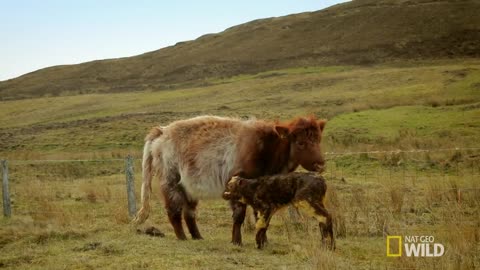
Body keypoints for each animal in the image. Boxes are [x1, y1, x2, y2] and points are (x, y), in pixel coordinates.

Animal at [132, 115, 326, 244]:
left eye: (318, 139)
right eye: (300, 143)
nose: (320, 164)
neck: (268, 149)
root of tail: (162, 131)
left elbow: (261, 217)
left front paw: (263, 241)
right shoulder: (235, 184)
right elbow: (239, 215)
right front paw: (236, 241)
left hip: (189, 187)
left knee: (189, 213)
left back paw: (197, 237)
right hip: (171, 181)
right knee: (174, 211)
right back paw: (182, 238)